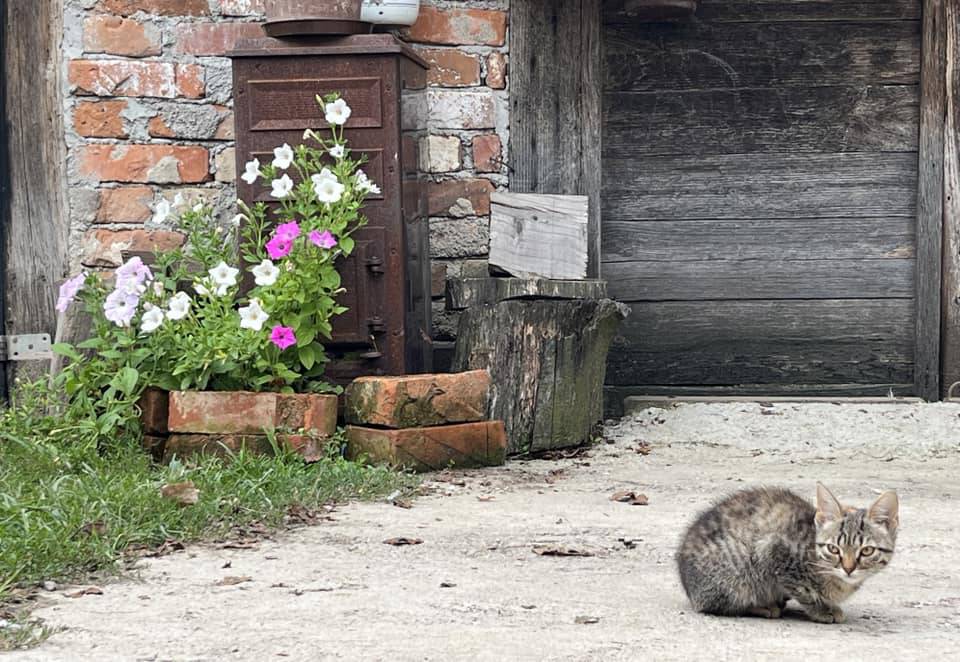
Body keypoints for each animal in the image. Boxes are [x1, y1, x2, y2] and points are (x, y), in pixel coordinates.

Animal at [680, 486, 896, 624]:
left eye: (866, 551)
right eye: (833, 549)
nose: (849, 569)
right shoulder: (773, 551)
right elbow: (803, 591)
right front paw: (822, 609)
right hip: (736, 573)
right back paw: (764, 606)